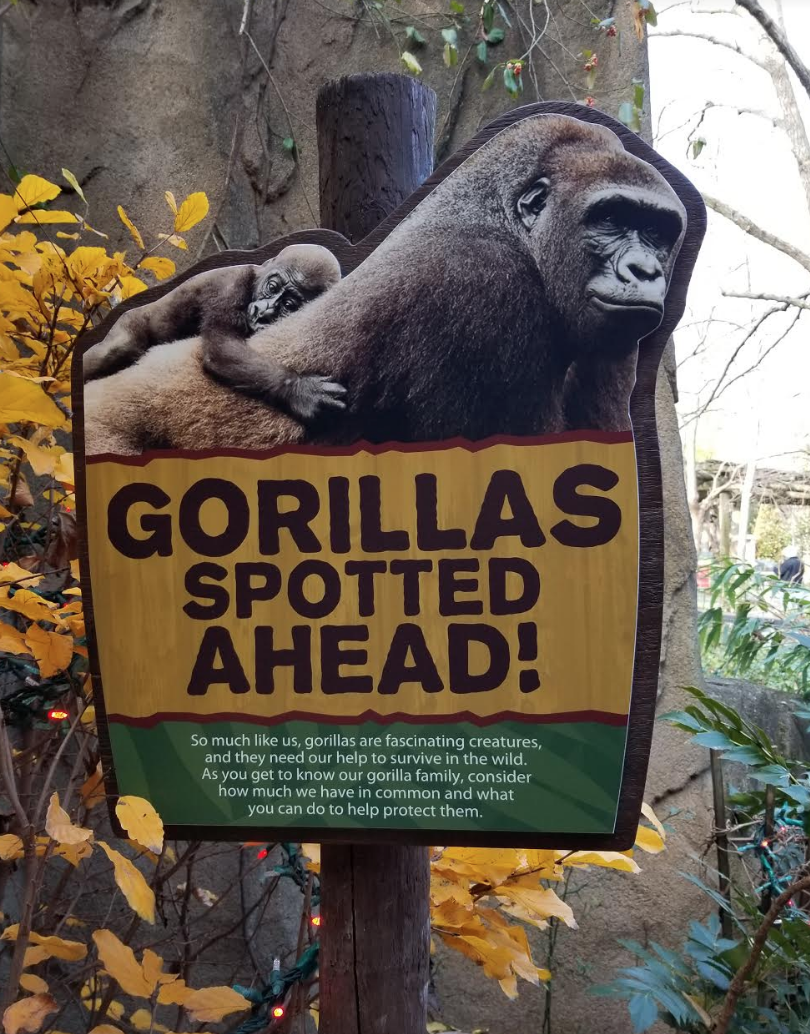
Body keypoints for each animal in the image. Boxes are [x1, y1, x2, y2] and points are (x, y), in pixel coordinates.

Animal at [82, 244, 346, 424]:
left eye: (289, 305)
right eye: (272, 287)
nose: (264, 311)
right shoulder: (230, 284)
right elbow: (221, 347)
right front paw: (299, 389)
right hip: (127, 322)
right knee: (118, 347)